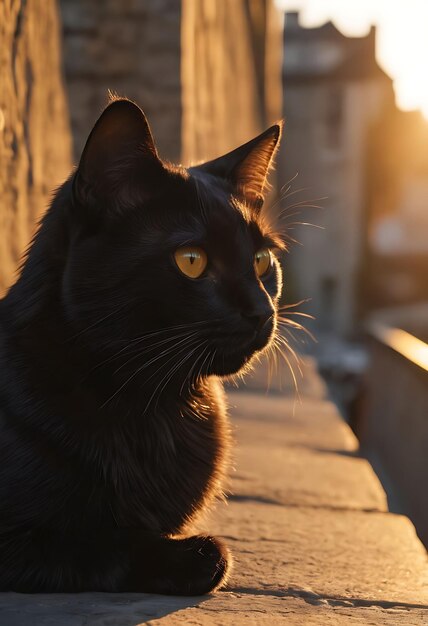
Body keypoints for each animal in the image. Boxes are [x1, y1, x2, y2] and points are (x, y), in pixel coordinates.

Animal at [0, 97, 282, 588]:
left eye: (263, 260)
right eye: (192, 260)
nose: (262, 311)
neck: (159, 403)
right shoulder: (21, 539)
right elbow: (108, 545)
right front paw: (193, 554)